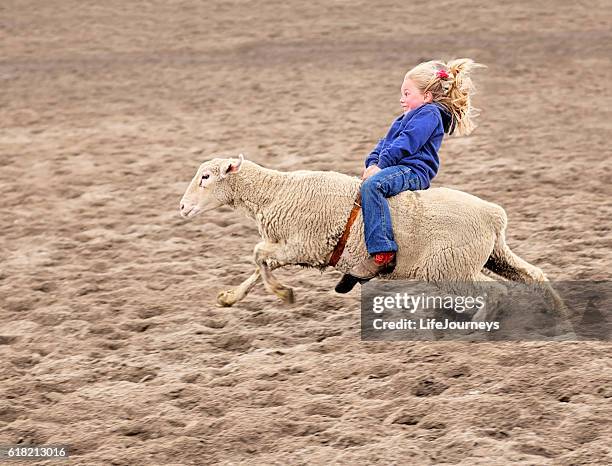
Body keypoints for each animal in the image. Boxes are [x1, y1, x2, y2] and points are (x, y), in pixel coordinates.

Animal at [179, 155, 568, 318]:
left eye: (206, 177)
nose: (182, 207)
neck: (275, 192)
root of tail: (492, 215)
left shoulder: (304, 246)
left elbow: (258, 255)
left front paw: (283, 293)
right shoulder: (294, 248)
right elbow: (257, 264)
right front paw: (230, 298)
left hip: (451, 268)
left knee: (498, 291)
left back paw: (476, 326)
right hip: (490, 257)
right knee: (534, 275)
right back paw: (559, 314)